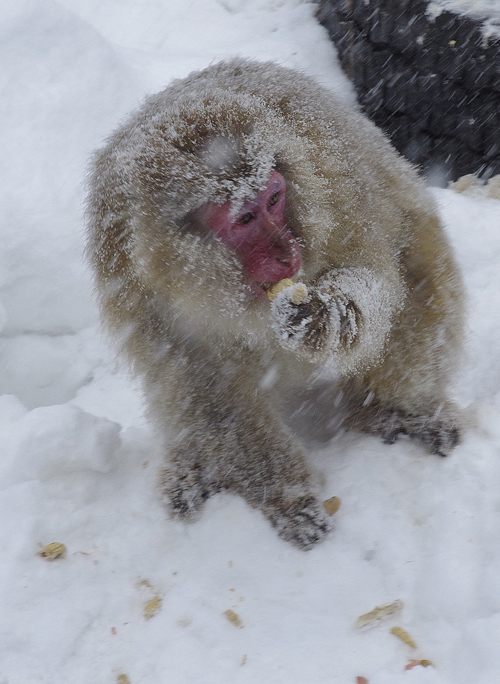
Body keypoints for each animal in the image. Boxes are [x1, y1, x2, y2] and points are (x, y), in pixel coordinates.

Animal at [86, 60, 464, 552]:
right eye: (245, 218)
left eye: (274, 198)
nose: (288, 254)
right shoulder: (136, 281)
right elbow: (208, 385)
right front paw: (288, 499)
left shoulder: (334, 184)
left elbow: (376, 279)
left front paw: (328, 317)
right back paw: (195, 469)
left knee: (417, 268)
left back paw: (397, 411)